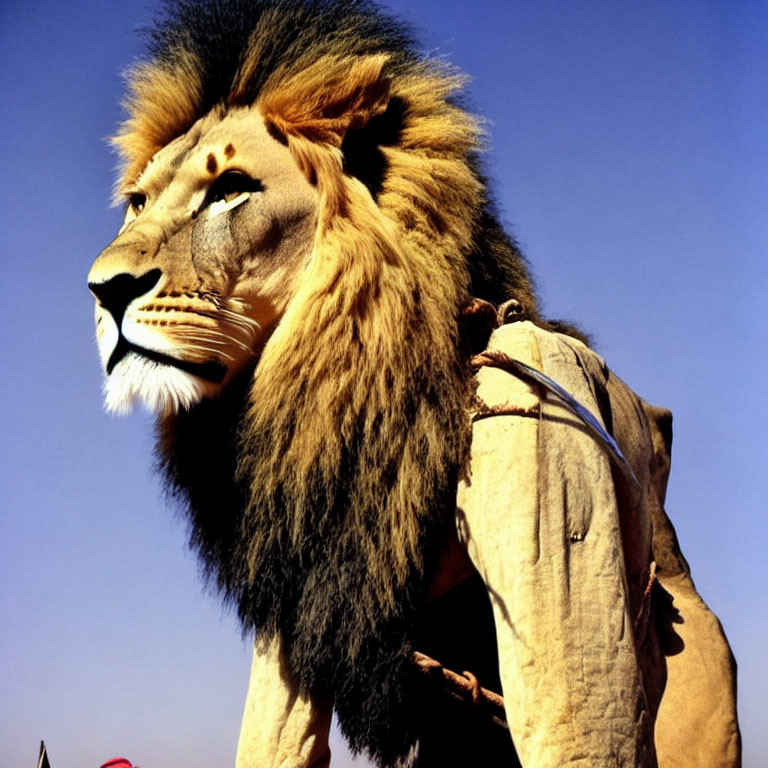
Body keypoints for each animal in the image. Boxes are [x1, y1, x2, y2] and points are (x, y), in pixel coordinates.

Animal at [88, 1, 740, 766]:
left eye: (231, 189)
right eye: (136, 203)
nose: (103, 289)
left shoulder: (538, 440)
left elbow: (573, 713)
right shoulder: (296, 581)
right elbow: (274, 729)